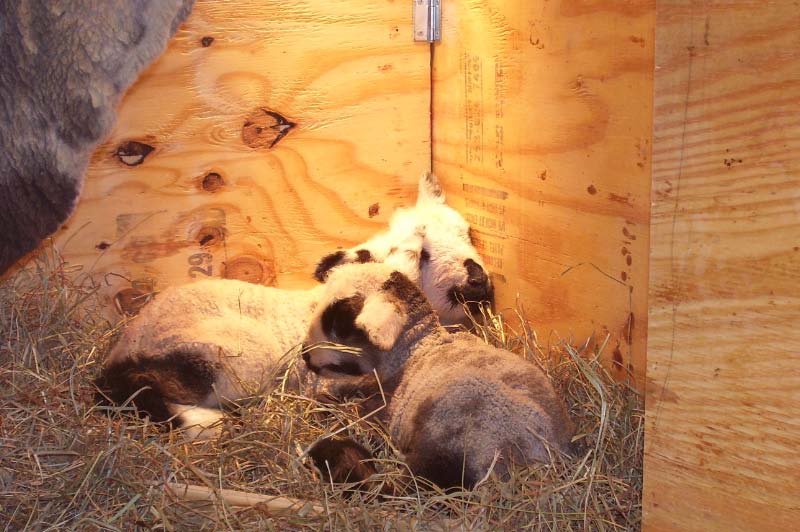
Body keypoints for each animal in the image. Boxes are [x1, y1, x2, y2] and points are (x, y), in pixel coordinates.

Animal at [95, 173, 494, 439]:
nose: (478, 281)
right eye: (422, 256)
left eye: (466, 233)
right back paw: (209, 424)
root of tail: (117, 359)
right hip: (228, 358)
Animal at [303, 262, 575, 491]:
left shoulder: (382, 410)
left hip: (451, 442)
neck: (415, 351)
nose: (305, 355)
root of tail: (542, 459)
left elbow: (354, 413)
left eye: (340, 321)